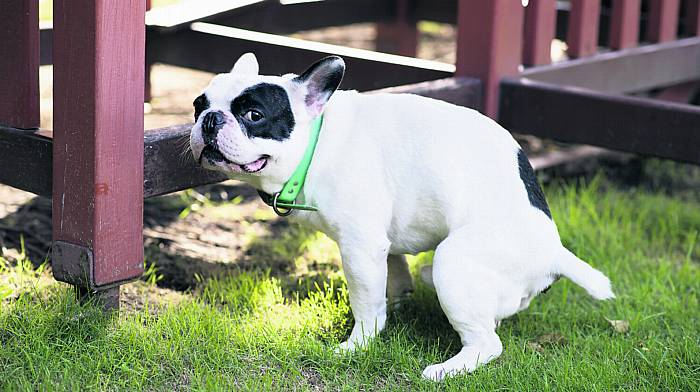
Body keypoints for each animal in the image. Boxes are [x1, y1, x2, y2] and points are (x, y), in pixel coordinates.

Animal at [189, 53, 616, 382]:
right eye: (198, 105)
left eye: (253, 115)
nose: (210, 119)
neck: (318, 143)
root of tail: (553, 251)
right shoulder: (381, 243)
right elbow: (391, 278)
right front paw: (392, 309)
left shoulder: (360, 246)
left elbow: (365, 299)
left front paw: (359, 343)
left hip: (453, 263)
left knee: (487, 343)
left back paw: (447, 369)